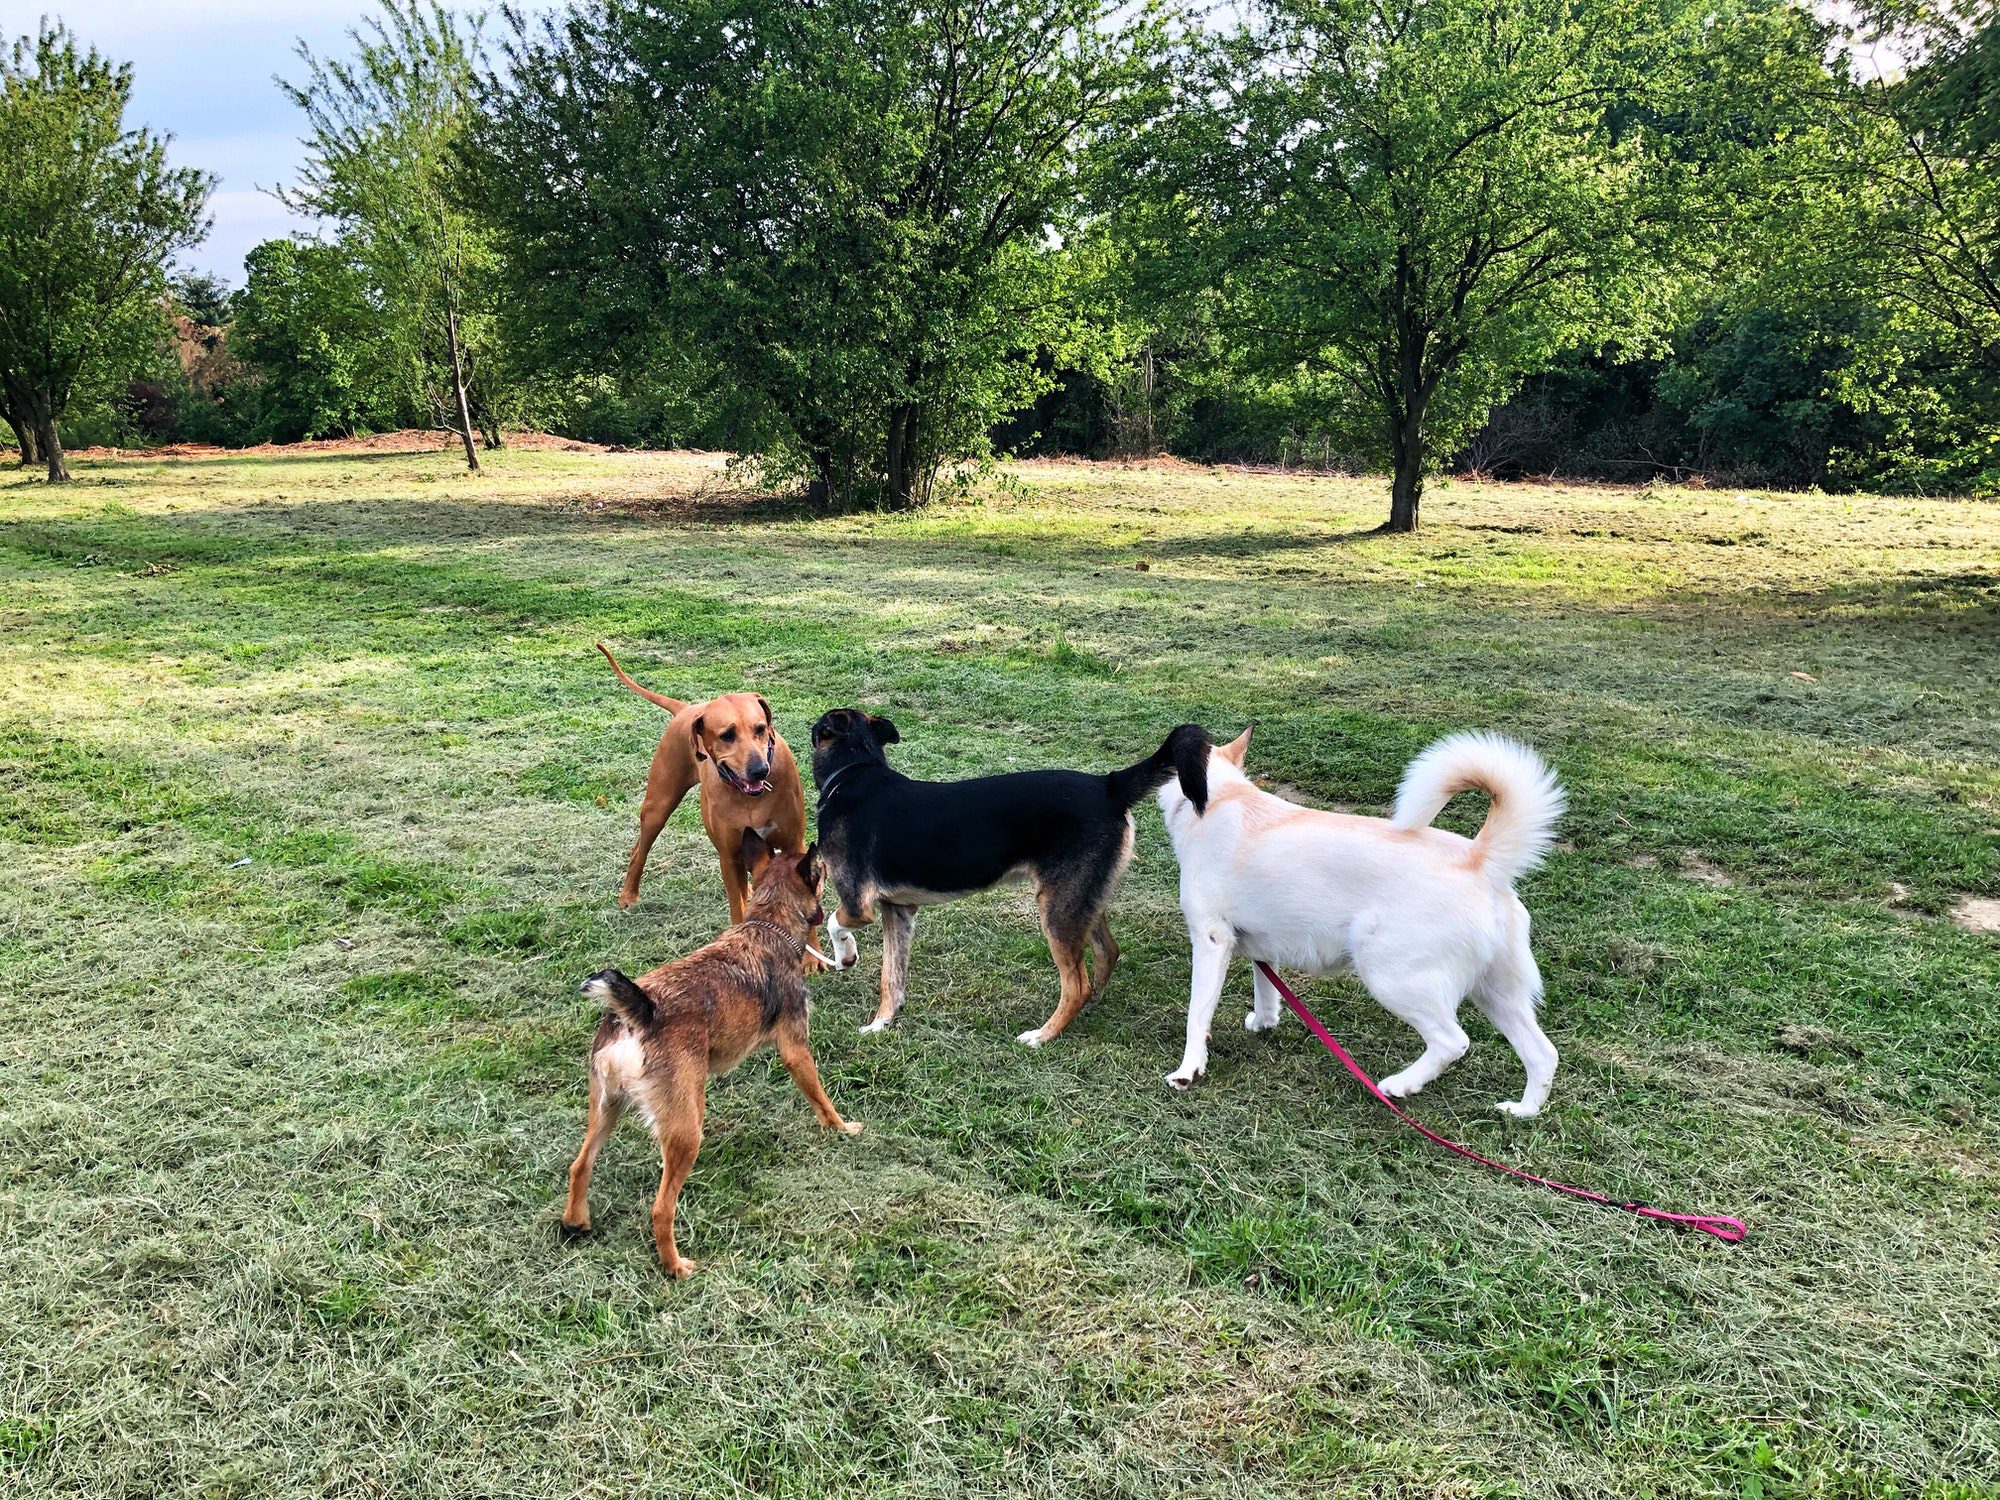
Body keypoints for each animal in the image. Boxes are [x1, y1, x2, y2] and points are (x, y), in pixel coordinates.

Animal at [556, 836, 860, 1280]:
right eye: (819, 872)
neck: (766, 924)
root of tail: (638, 1012)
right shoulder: (795, 1050)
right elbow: (821, 1098)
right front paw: (842, 1128)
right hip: (686, 1131)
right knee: (660, 1209)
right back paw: (675, 1266)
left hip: (606, 1107)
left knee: (580, 1166)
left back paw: (576, 1221)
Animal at [596, 640, 808, 924]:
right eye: (727, 735)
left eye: (761, 728)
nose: (760, 771)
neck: (748, 797)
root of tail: (687, 709)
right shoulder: (728, 857)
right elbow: (738, 910)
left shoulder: (793, 844)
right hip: (658, 806)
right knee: (638, 849)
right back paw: (629, 894)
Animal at [808, 712, 1200, 1048]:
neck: (853, 771)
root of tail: (1109, 785)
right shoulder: (899, 911)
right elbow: (891, 978)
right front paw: (881, 1024)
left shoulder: (857, 905)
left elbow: (833, 923)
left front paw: (845, 957)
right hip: (1082, 900)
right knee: (1107, 953)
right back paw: (1089, 1009)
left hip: (1055, 910)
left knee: (1076, 985)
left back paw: (1042, 1036)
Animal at [1160, 728, 1560, 1120]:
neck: (1222, 797)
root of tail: (1479, 859)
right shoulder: (1260, 947)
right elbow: (1267, 993)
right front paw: (1262, 1024)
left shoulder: (1211, 941)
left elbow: (1197, 1015)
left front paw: (1188, 1071)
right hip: (1496, 994)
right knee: (1543, 1054)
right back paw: (1523, 1111)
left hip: (1390, 977)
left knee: (1453, 1041)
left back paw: (1400, 1085)